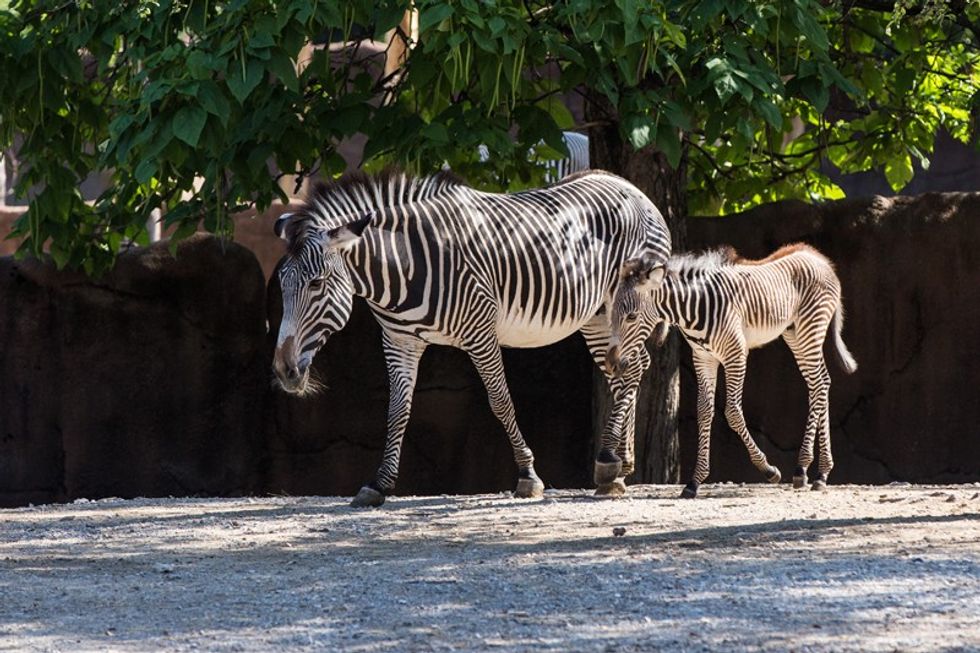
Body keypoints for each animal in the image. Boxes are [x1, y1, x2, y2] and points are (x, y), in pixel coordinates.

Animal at [272, 168, 671, 507]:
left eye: (316, 284)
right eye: (281, 284)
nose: (283, 370)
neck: (408, 267)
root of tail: (631, 186)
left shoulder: (481, 334)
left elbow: (500, 402)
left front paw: (528, 476)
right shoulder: (399, 341)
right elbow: (397, 410)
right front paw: (378, 484)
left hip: (625, 306)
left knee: (632, 369)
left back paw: (607, 462)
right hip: (598, 316)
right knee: (628, 369)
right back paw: (619, 466)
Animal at [605, 243, 857, 498]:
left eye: (632, 317)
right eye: (611, 314)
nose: (611, 364)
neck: (695, 309)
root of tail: (818, 257)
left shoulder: (735, 354)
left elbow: (733, 412)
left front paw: (768, 470)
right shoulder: (703, 358)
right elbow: (704, 411)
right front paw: (694, 482)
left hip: (810, 329)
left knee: (818, 384)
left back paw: (804, 469)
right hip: (794, 334)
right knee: (821, 383)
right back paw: (819, 473)